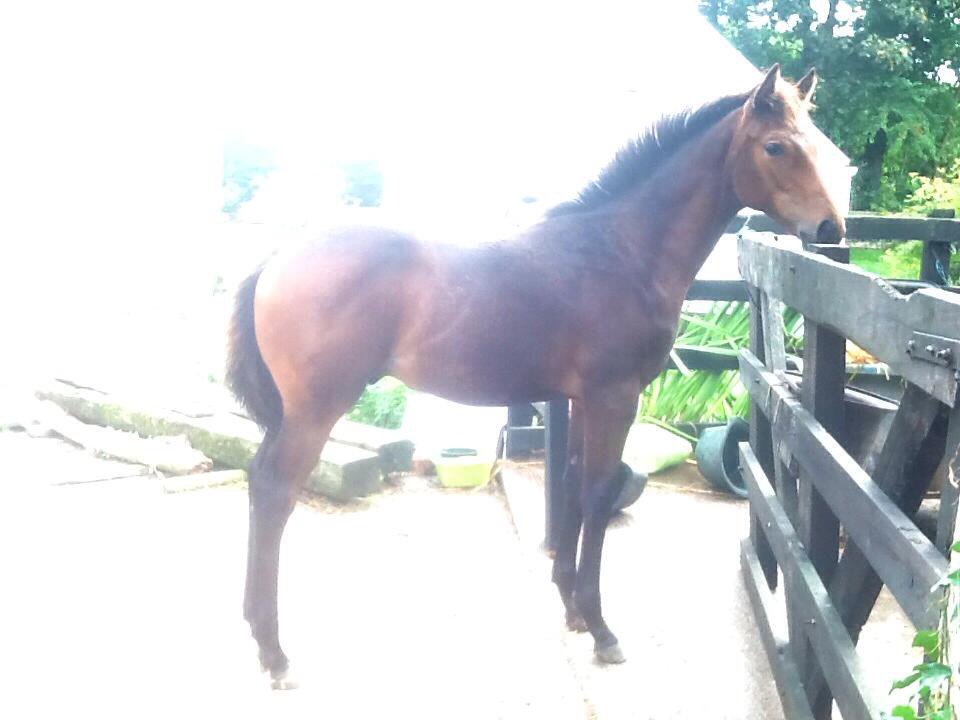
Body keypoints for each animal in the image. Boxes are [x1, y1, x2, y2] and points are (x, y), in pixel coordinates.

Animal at [227, 64, 844, 686]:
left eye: (820, 144)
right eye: (777, 146)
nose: (831, 228)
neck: (623, 249)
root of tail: (278, 256)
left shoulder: (579, 401)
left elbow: (570, 485)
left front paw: (570, 607)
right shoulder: (614, 398)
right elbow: (597, 494)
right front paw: (600, 628)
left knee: (258, 481)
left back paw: (257, 632)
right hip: (316, 410)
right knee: (276, 491)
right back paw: (276, 655)